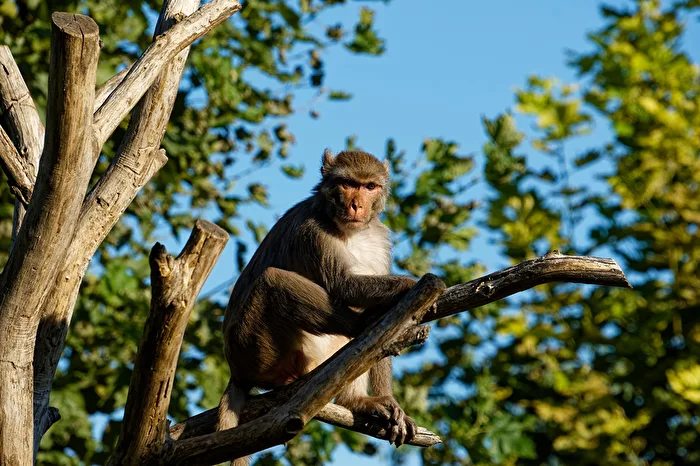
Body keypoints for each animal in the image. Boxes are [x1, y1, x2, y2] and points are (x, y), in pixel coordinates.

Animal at [217, 149, 418, 465]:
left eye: (369, 186)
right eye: (348, 183)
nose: (356, 205)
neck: (348, 231)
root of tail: (236, 372)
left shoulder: (379, 240)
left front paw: (389, 400)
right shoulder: (312, 231)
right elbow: (343, 285)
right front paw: (411, 285)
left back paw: (355, 400)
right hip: (254, 348)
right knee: (273, 279)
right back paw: (363, 325)